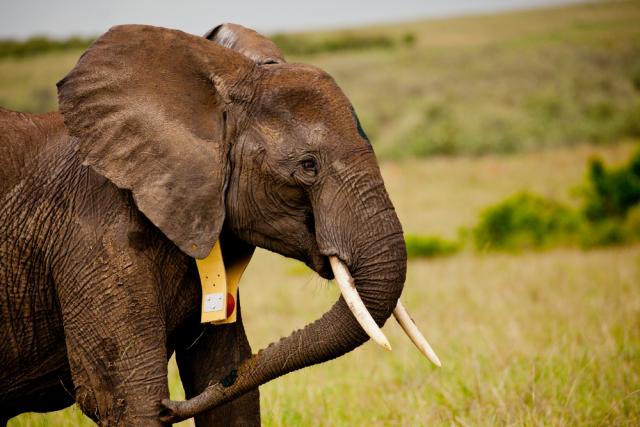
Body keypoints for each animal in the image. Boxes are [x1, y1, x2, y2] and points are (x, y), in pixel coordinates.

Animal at [0, 23, 439, 426]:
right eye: (308, 166)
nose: (171, 406)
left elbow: (227, 384)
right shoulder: (93, 236)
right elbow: (126, 401)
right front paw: (154, 403)